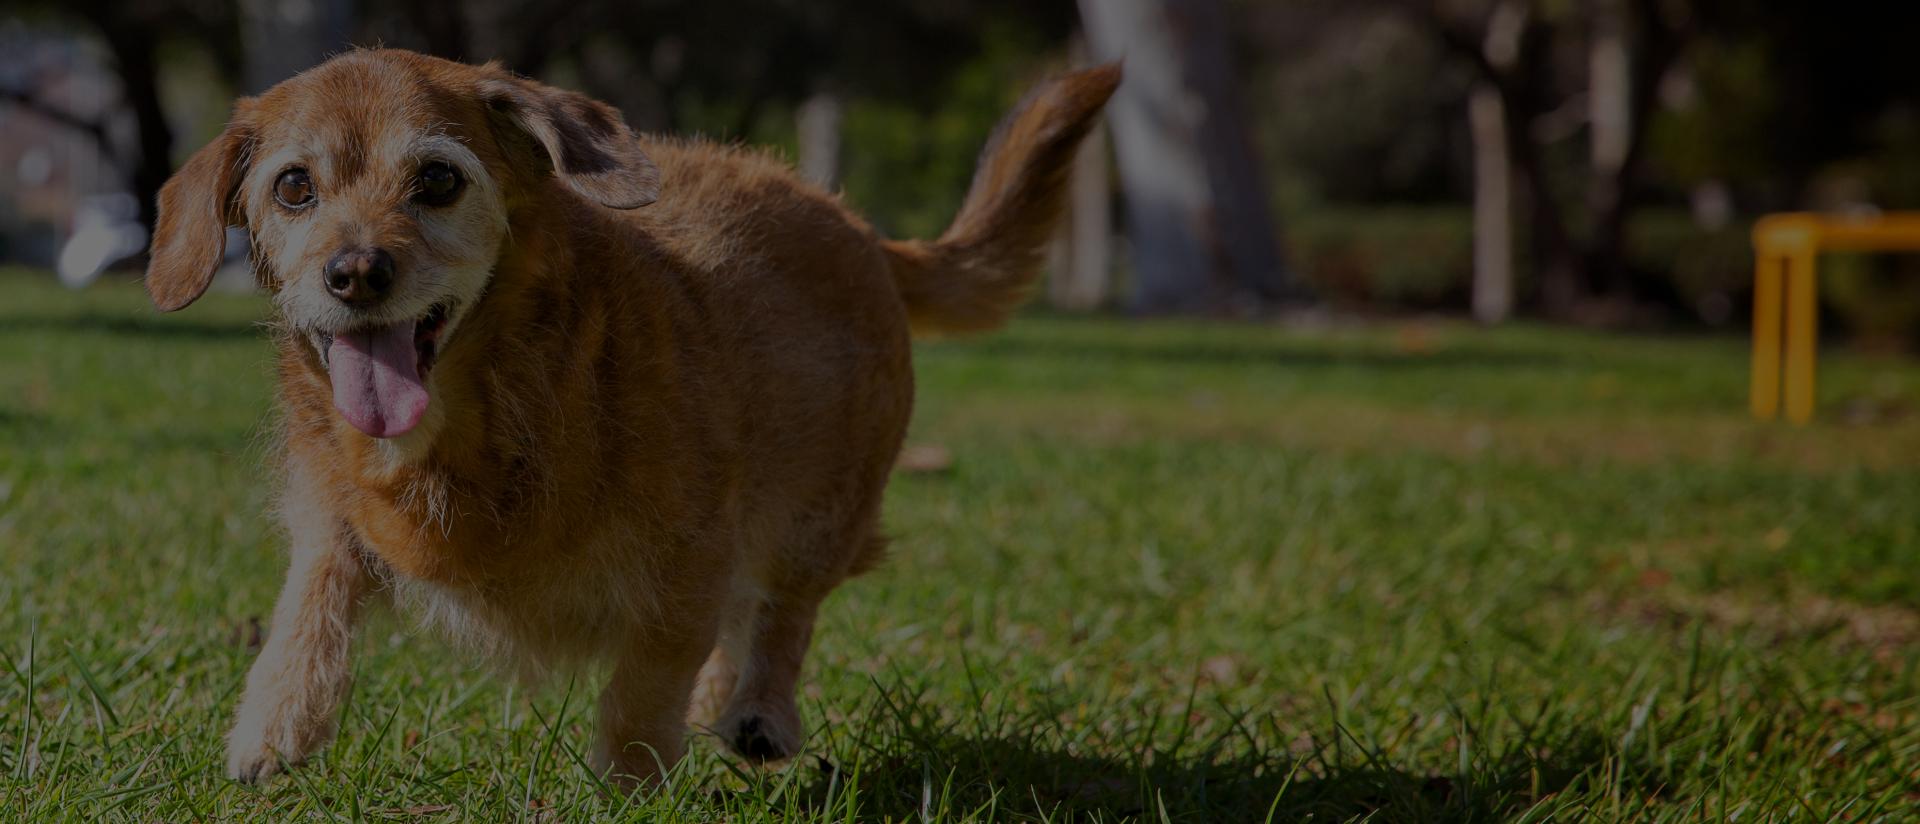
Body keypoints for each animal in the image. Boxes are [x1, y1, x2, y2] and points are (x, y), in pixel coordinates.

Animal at [145, 49, 1121, 783]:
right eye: (294, 188)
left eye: (437, 179)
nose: (354, 273)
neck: (483, 417)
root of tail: (860, 228)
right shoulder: (333, 511)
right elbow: (313, 597)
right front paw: (274, 724)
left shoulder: (685, 560)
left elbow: (646, 686)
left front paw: (631, 783)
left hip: (818, 516)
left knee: (782, 611)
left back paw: (759, 710)